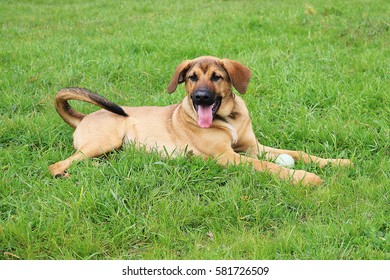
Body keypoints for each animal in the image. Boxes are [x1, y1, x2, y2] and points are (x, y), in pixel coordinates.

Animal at [49, 55, 354, 185]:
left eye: (216, 77)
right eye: (192, 77)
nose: (201, 97)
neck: (227, 118)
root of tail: (84, 117)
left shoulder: (253, 147)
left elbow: (298, 152)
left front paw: (336, 162)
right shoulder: (228, 156)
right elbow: (269, 167)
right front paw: (304, 177)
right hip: (105, 140)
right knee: (57, 164)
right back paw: (68, 173)